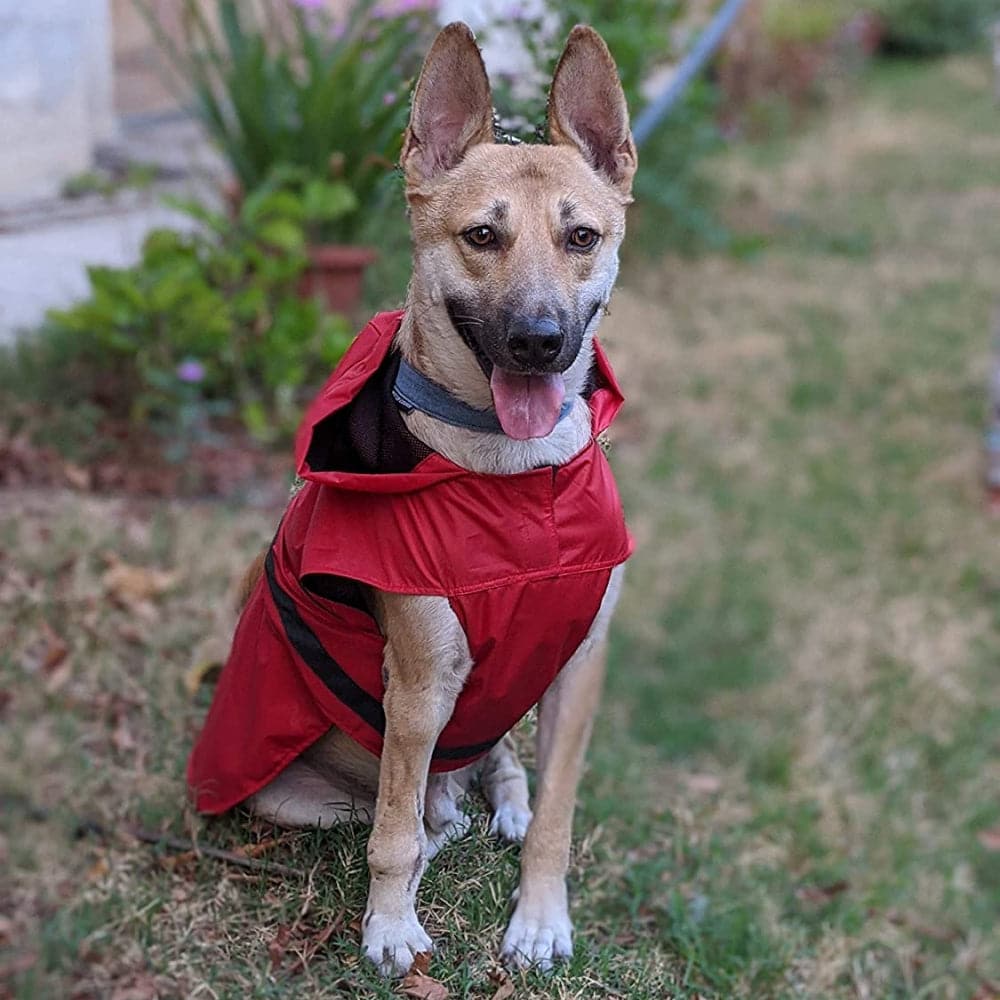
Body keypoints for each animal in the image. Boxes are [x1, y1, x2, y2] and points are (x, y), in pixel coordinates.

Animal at [189, 21, 632, 976]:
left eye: (581, 236)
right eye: (481, 235)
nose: (538, 342)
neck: (514, 479)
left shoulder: (579, 665)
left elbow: (559, 813)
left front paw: (541, 917)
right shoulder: (421, 679)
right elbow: (390, 833)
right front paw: (391, 926)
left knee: (500, 768)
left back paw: (498, 802)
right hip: (295, 790)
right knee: (403, 809)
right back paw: (439, 823)